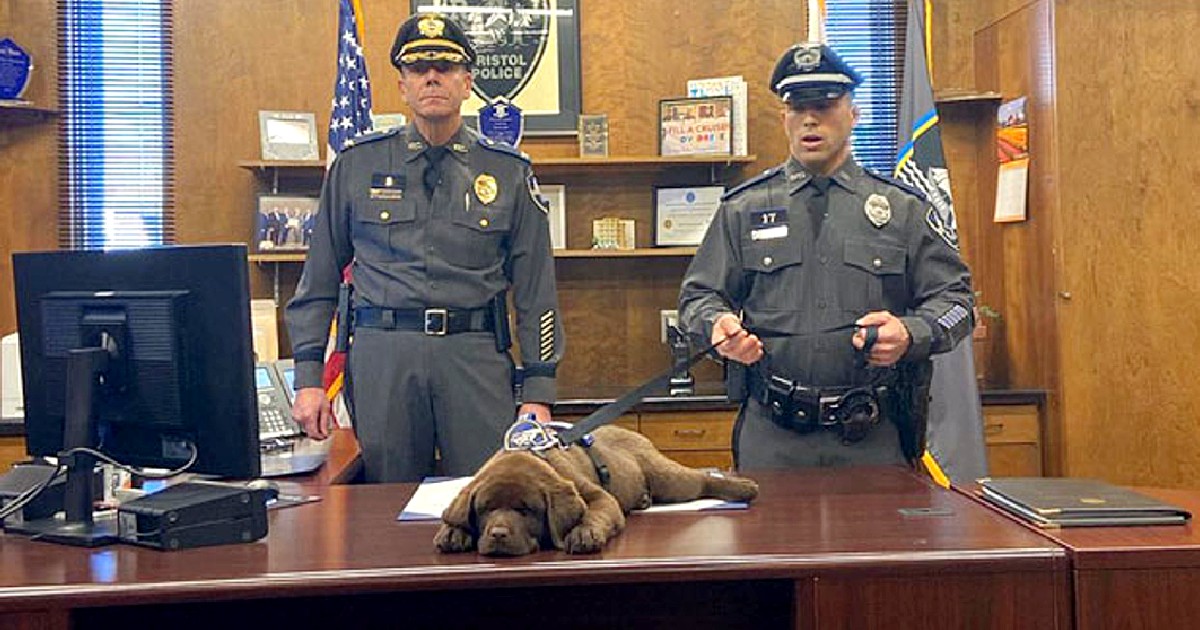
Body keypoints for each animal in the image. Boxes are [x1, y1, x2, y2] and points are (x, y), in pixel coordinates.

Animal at [434, 422, 758, 554]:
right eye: (485, 510)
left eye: (526, 511)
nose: (498, 534)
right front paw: (452, 532)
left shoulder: (599, 496)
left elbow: (596, 512)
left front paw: (584, 534)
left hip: (668, 479)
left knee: (701, 479)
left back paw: (744, 487)